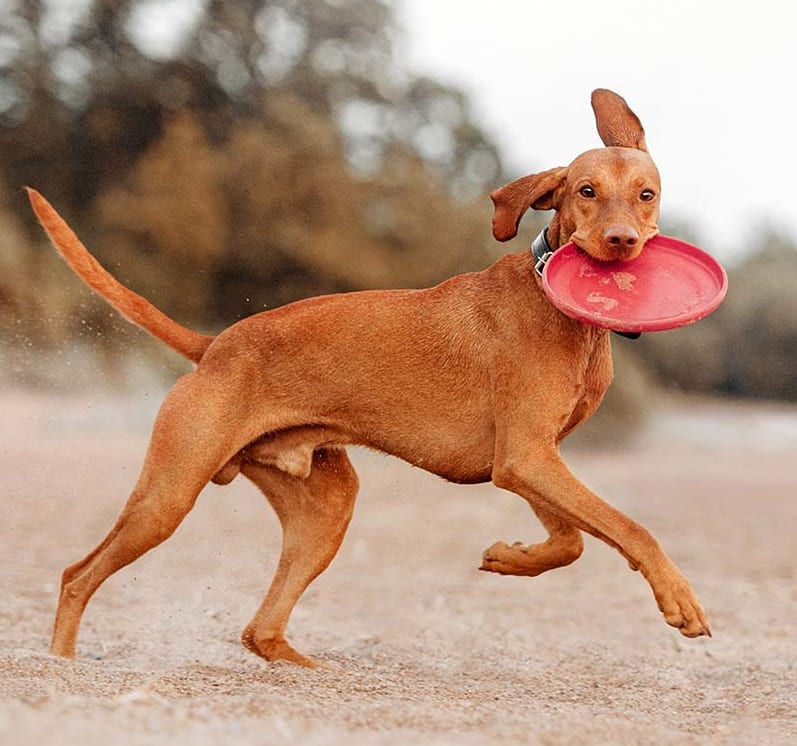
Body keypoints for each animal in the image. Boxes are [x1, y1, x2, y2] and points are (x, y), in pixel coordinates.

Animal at [28, 88, 708, 668]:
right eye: (587, 190)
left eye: (646, 194)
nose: (621, 241)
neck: (558, 310)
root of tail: (216, 344)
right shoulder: (525, 457)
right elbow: (628, 526)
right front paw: (679, 598)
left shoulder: (532, 459)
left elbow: (574, 540)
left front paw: (509, 558)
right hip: (168, 496)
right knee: (76, 576)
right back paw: (61, 667)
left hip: (326, 509)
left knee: (259, 631)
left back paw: (306, 667)